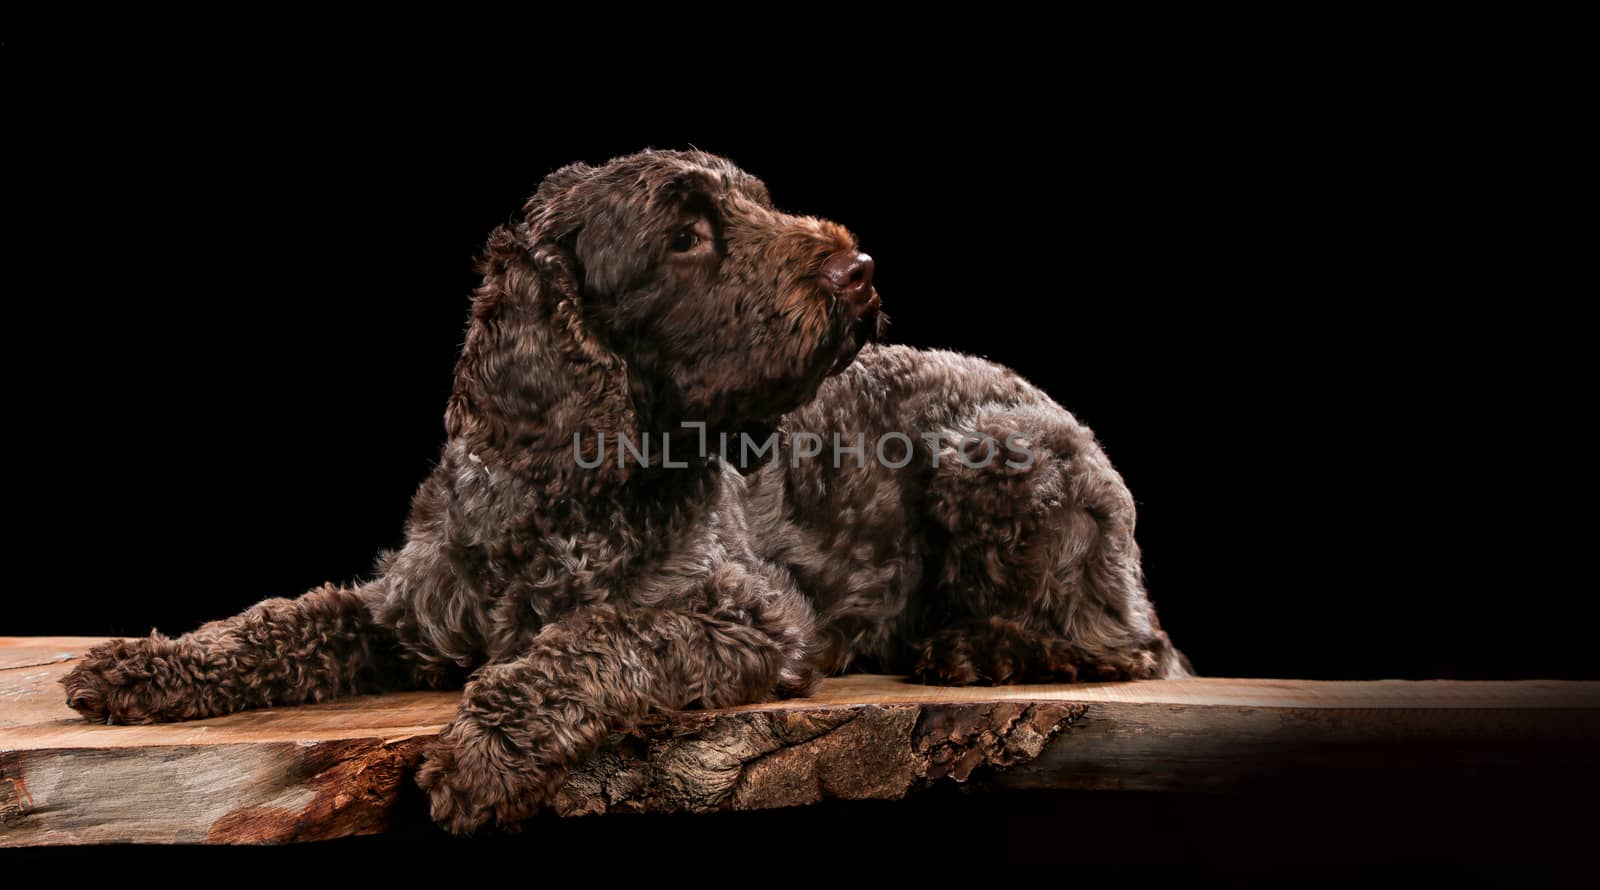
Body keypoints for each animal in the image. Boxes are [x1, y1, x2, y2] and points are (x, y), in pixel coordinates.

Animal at [62, 145, 1190, 832]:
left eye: (757, 201)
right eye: (685, 234)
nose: (858, 270)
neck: (561, 486)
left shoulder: (745, 617)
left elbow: (595, 640)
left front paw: (484, 750)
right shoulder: (402, 610)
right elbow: (276, 621)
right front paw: (148, 664)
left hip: (993, 455)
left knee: (1124, 644)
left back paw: (973, 647)